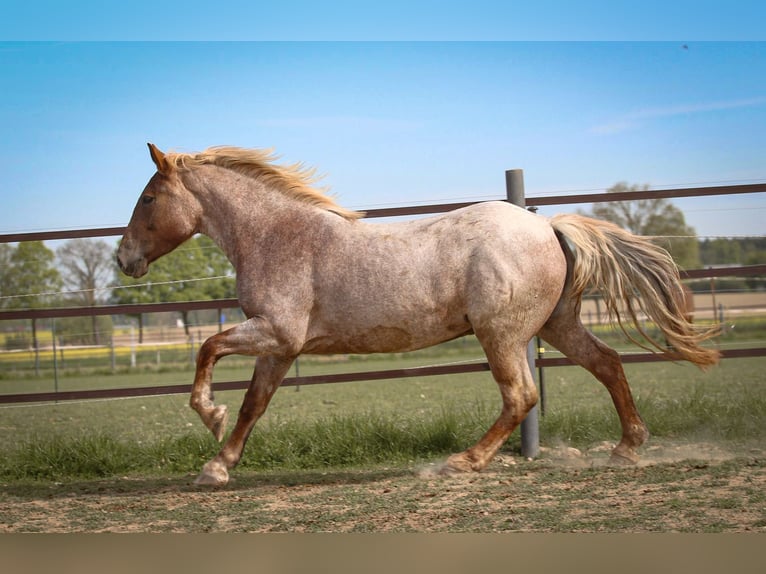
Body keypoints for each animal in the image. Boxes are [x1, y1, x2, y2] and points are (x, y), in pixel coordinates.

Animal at [117, 143, 720, 486]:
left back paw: (462, 463)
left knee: (521, 395)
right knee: (608, 363)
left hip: (501, 334)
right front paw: (218, 465)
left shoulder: (275, 333)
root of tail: (546, 225)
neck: (276, 236)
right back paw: (626, 450)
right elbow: (253, 405)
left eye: (148, 198)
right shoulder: (282, 348)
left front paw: (209, 417)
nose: (124, 259)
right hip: (557, 324)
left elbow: (208, 348)